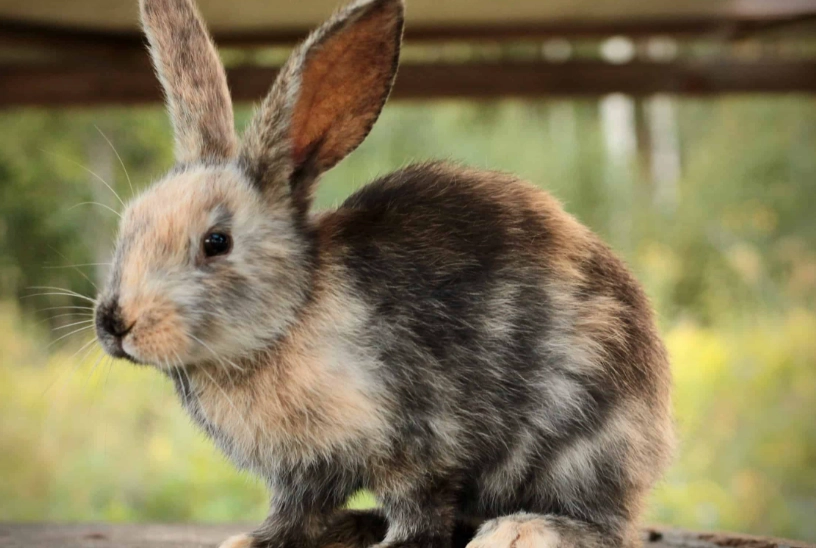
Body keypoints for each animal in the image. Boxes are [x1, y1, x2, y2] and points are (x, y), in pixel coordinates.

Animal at [93, 0, 674, 547]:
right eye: (129, 224)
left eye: (216, 242)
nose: (114, 323)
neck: (288, 321)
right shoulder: (303, 474)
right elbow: (294, 516)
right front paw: (251, 540)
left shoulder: (417, 444)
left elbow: (419, 508)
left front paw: (397, 543)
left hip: (581, 446)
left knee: (605, 527)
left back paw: (516, 531)